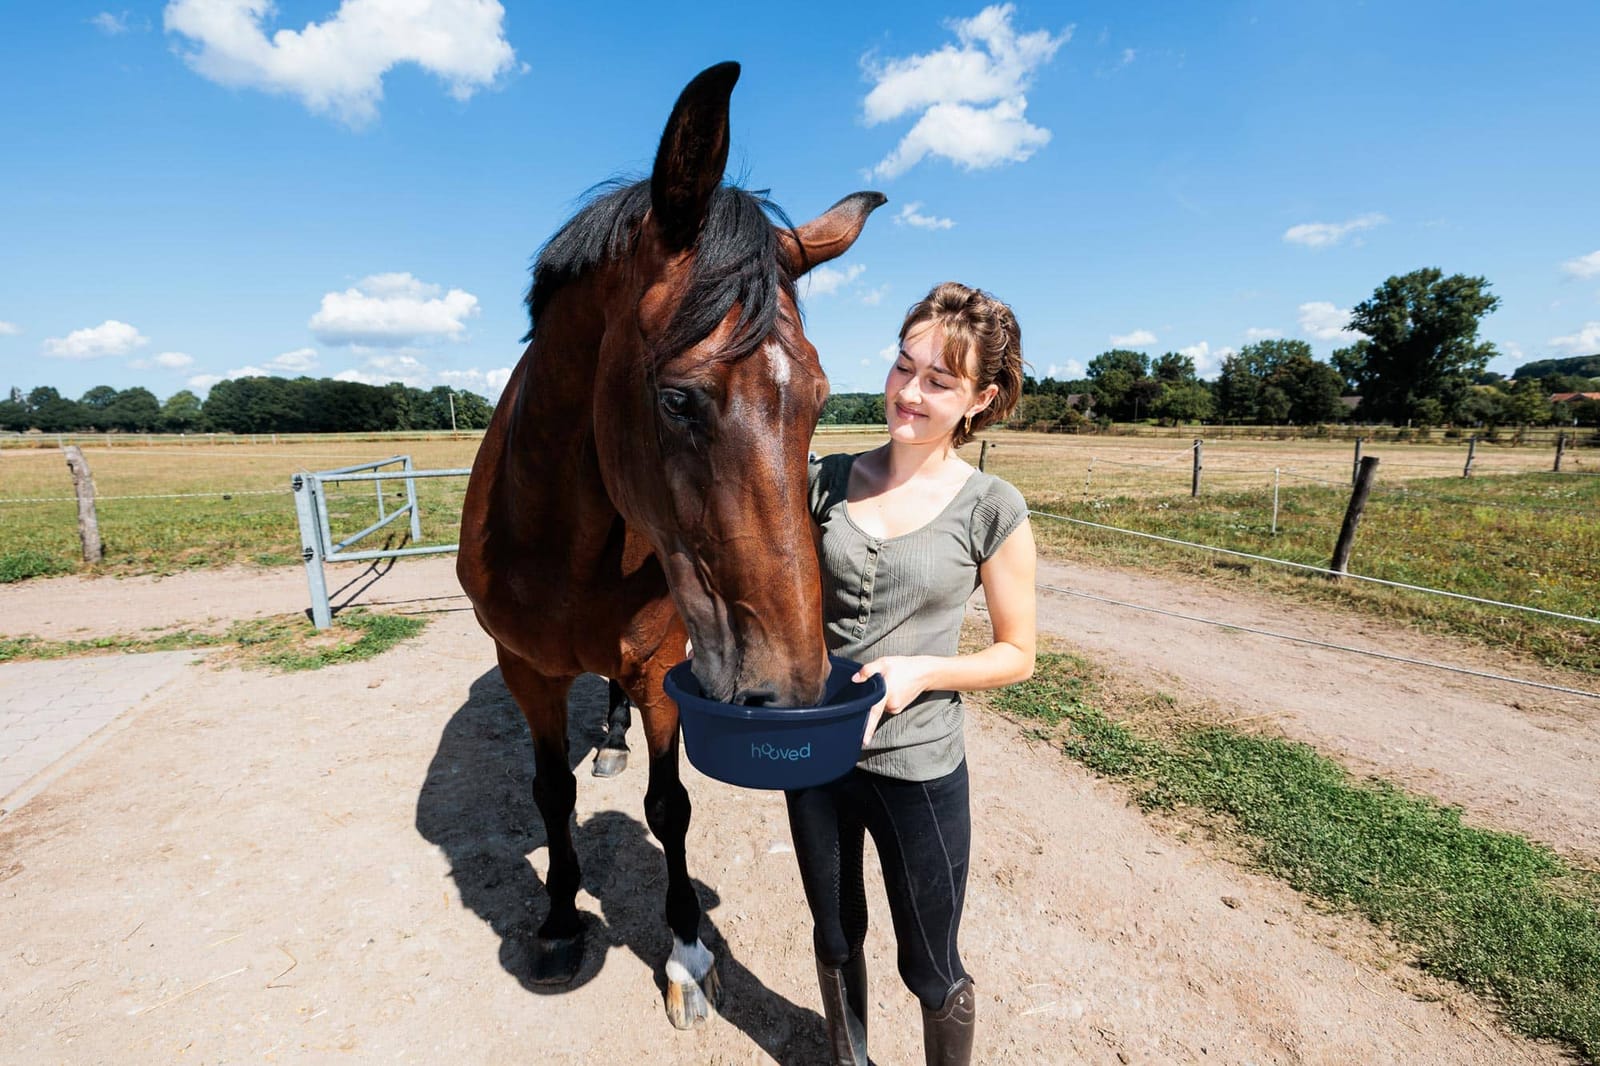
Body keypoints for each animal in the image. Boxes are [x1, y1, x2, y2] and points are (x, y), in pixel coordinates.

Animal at [456, 61, 884, 1029]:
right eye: (679, 399)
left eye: (819, 398)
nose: (794, 687)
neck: (564, 543)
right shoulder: (523, 669)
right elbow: (552, 793)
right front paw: (559, 920)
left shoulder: (662, 667)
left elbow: (670, 803)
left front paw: (687, 952)